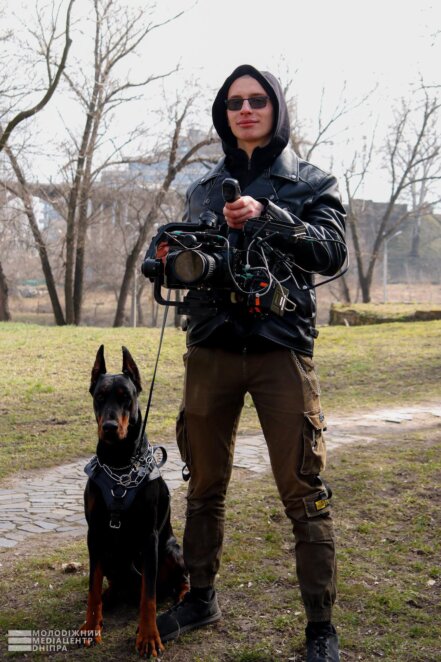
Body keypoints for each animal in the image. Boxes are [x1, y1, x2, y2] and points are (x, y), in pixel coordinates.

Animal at [79, 348, 187, 660]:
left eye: (125, 396)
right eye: (100, 396)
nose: (109, 427)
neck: (119, 462)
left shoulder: (149, 537)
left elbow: (148, 597)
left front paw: (149, 636)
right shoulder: (95, 534)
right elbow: (92, 588)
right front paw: (91, 625)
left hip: (170, 550)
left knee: (175, 581)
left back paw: (183, 597)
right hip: (111, 557)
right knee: (112, 586)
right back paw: (108, 599)